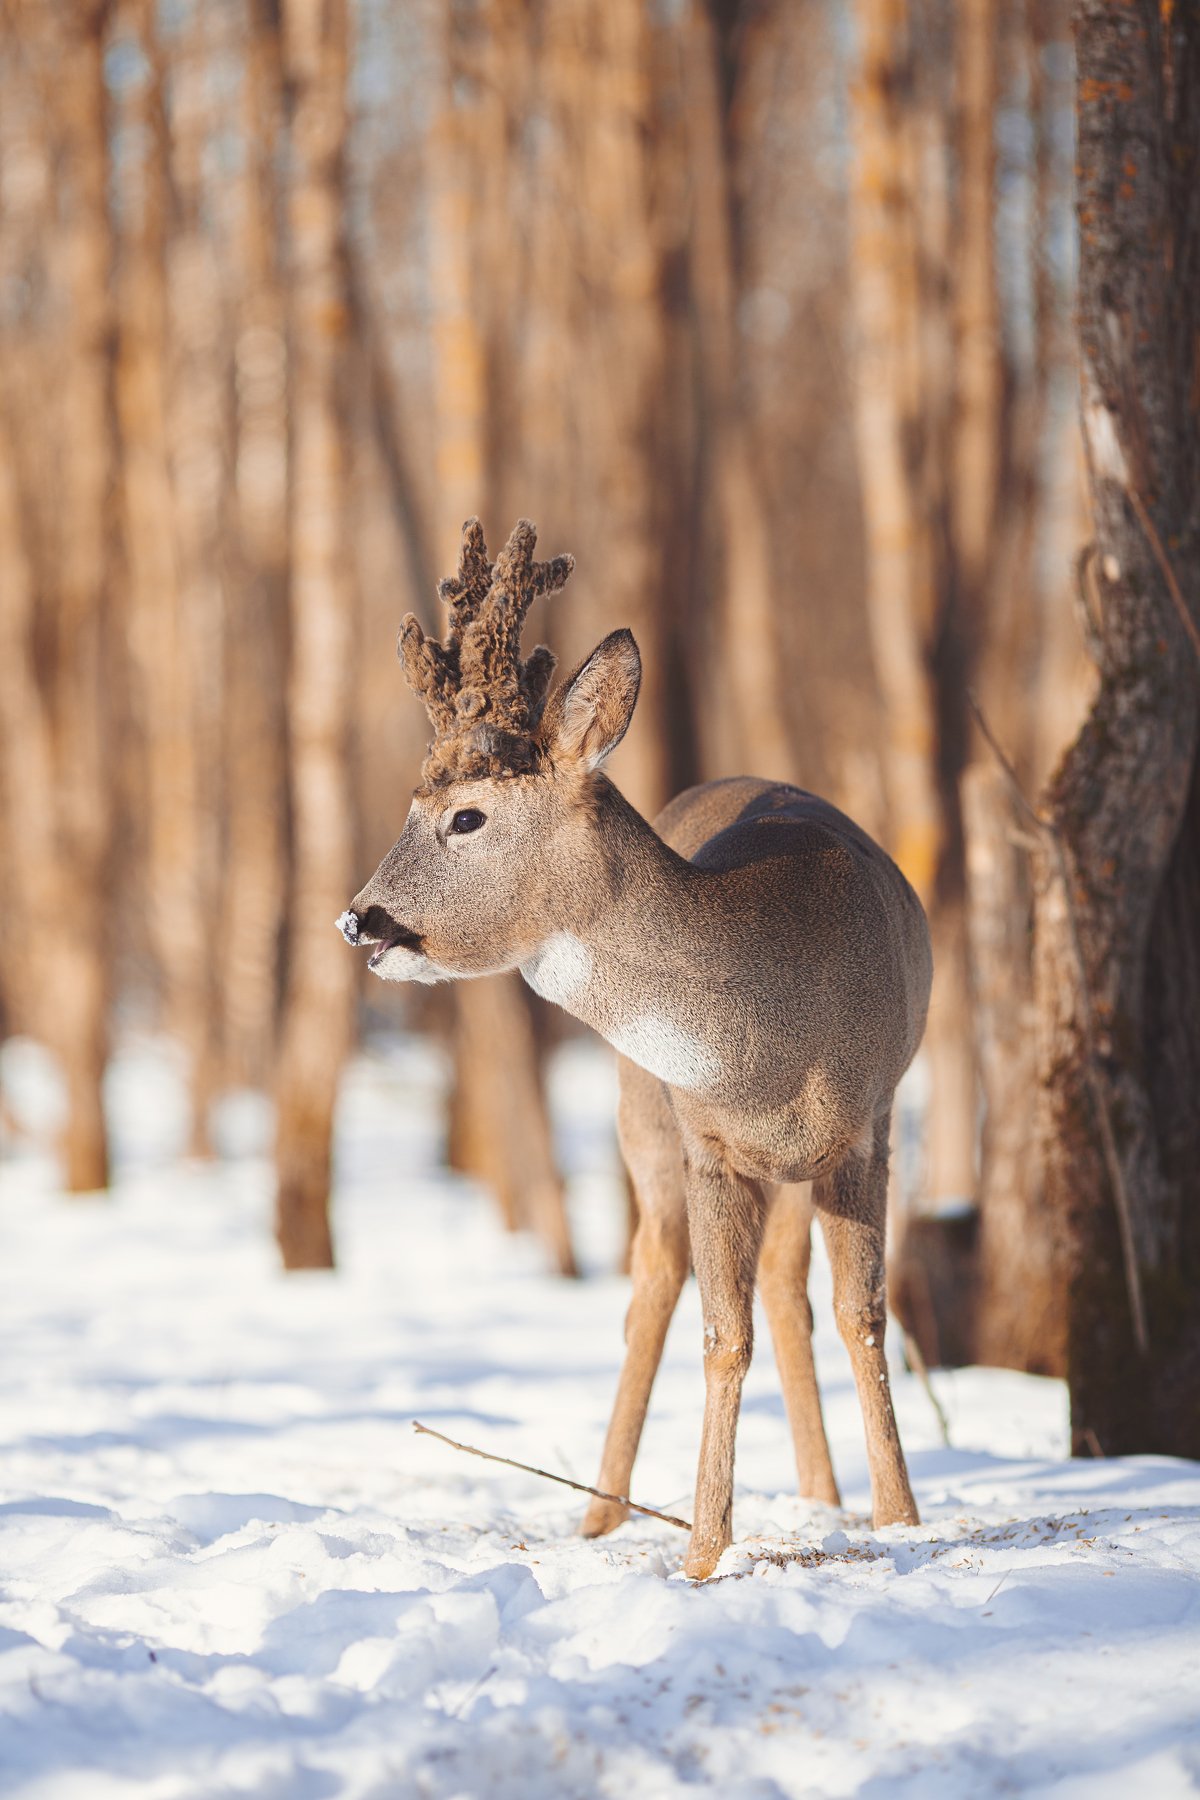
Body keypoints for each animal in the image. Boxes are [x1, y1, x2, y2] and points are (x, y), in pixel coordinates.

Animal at [338, 522, 928, 1576]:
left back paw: (822, 1496)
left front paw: (901, 1519)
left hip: (785, 1162)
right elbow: (720, 1333)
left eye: (465, 815)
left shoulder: (870, 1122)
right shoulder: (705, 1141)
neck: (781, 1037)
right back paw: (602, 1514)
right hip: (638, 1112)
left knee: (787, 1290)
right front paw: (704, 1551)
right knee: (651, 1280)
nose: (361, 919)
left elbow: (862, 1315)